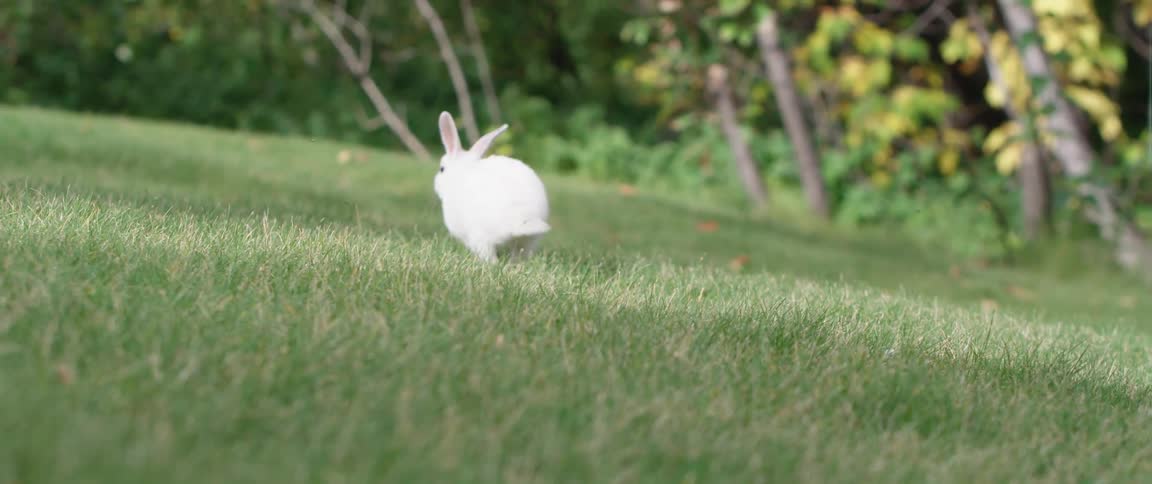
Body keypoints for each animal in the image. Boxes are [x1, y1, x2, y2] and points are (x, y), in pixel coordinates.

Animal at [433, 111, 551, 263]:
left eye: (441, 169)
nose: (436, 185)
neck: (463, 170)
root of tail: (520, 220)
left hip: (481, 238)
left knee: (491, 259)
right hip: (529, 241)